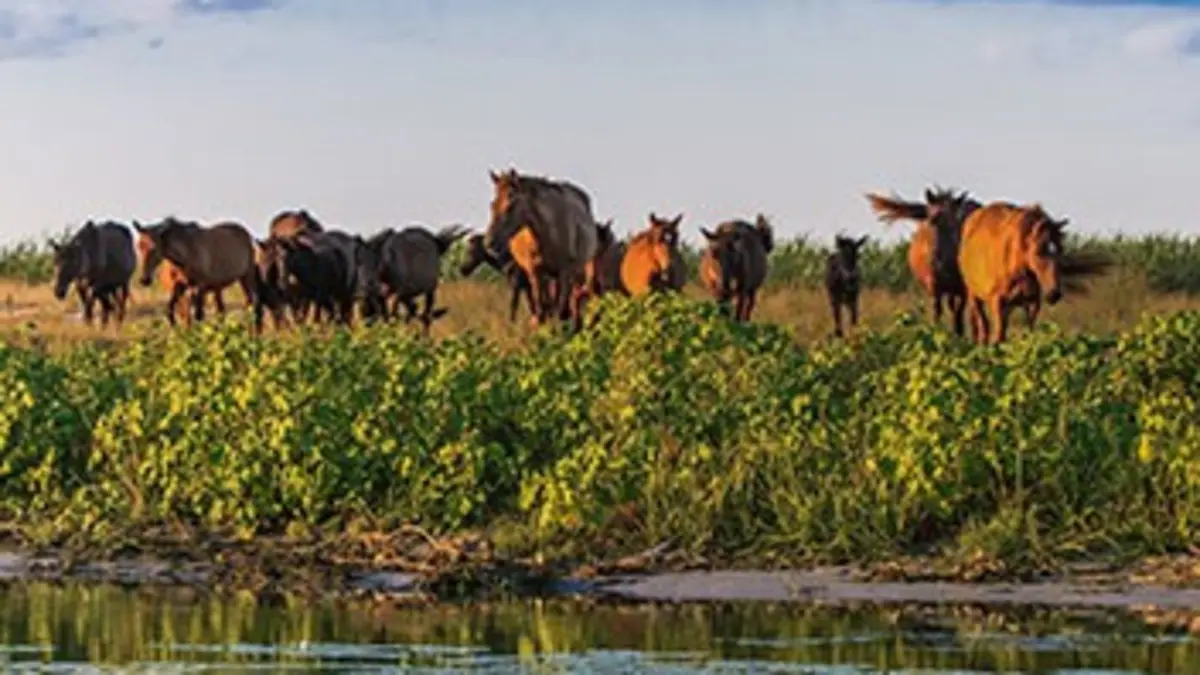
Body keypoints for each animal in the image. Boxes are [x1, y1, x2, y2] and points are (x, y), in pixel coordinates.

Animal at [483, 168, 599, 332]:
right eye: (493, 204)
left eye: (510, 205)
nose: (489, 243)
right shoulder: (536, 272)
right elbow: (541, 308)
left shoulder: (565, 272)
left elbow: (561, 309)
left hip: (574, 273)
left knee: (572, 303)